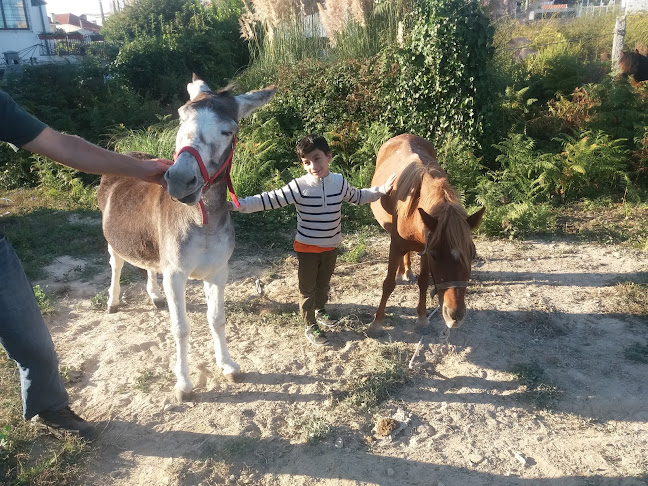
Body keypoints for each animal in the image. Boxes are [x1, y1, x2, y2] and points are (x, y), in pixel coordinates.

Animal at [368, 133, 484, 338]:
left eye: (472, 255)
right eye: (436, 255)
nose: (455, 315)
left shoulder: (425, 247)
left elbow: (423, 281)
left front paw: (422, 320)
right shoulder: (400, 246)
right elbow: (388, 283)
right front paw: (376, 323)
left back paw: (406, 271)